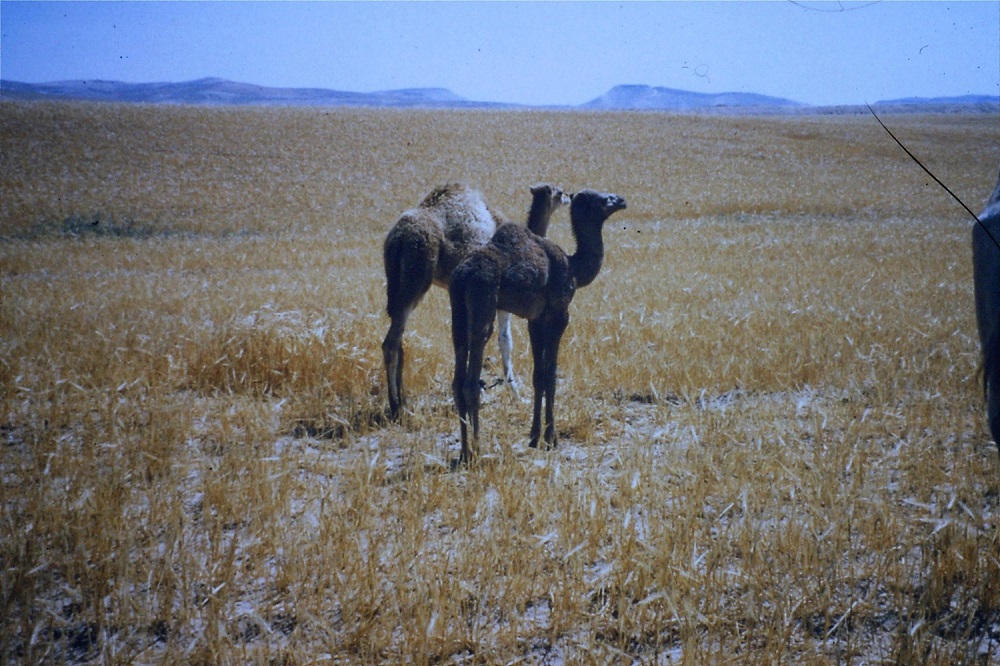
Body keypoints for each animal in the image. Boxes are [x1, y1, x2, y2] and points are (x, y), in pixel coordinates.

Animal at [382, 180, 572, 420]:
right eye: (559, 191)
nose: (570, 196)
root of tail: (398, 238)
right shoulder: (500, 302)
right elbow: (505, 341)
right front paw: (516, 395)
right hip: (416, 279)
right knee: (391, 342)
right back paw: (396, 407)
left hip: (396, 284)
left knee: (398, 340)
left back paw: (402, 402)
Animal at [452, 184, 624, 460]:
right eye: (600, 199)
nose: (621, 200)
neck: (574, 267)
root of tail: (463, 275)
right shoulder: (559, 315)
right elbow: (551, 375)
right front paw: (552, 438)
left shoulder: (535, 320)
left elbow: (538, 375)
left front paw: (534, 436)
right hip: (483, 304)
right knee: (471, 383)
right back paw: (476, 451)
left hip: (457, 313)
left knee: (457, 382)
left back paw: (464, 452)